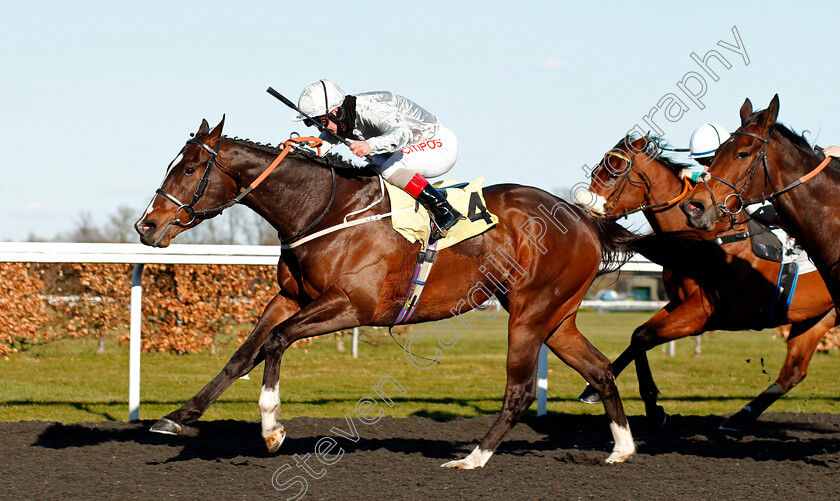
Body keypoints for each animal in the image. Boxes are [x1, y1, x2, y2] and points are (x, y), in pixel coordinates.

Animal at [133, 116, 664, 464]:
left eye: (188, 169)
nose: (146, 226)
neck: (323, 209)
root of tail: (584, 218)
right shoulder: (291, 298)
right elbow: (244, 353)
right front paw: (177, 416)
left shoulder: (353, 305)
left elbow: (276, 342)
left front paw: (272, 428)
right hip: (557, 315)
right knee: (599, 369)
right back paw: (622, 449)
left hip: (530, 313)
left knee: (518, 391)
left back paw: (472, 458)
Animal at [576, 134, 832, 430]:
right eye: (595, 172)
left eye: (613, 173)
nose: (584, 212)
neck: (704, 240)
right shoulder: (680, 302)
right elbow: (637, 336)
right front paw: (594, 389)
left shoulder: (707, 312)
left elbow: (643, 336)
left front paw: (653, 409)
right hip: (815, 318)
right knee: (793, 372)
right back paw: (740, 417)